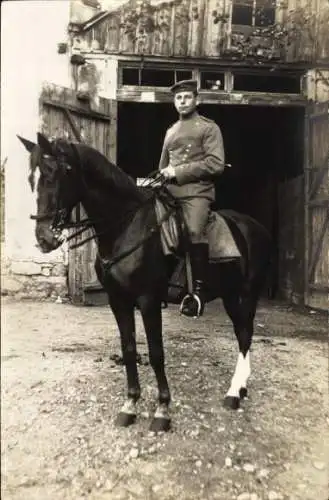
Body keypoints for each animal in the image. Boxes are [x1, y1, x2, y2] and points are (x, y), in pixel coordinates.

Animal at [18, 134, 270, 434]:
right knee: (243, 332)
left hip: (245, 294)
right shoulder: (118, 301)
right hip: (232, 294)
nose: (44, 238)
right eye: (32, 178)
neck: (127, 226)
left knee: (244, 334)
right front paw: (129, 406)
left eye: (60, 171)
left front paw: (162, 411)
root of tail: (254, 225)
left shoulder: (149, 300)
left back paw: (233, 393)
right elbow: (128, 350)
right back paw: (240, 388)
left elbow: (156, 352)